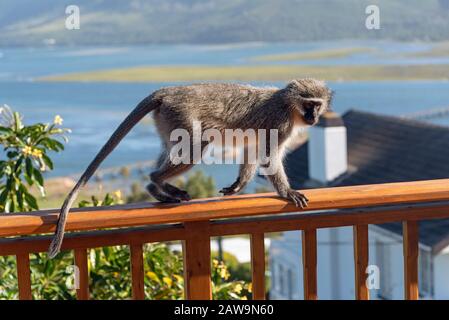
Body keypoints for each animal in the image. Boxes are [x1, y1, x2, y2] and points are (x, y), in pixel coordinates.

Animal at [47, 79, 330, 258]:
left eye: (318, 105)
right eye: (309, 104)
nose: (314, 117)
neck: (288, 105)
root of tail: (169, 92)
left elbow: (252, 148)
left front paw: (238, 185)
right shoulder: (280, 124)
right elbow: (269, 156)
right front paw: (287, 193)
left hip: (167, 121)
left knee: (174, 146)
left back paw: (158, 189)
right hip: (180, 115)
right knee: (195, 147)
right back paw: (157, 183)